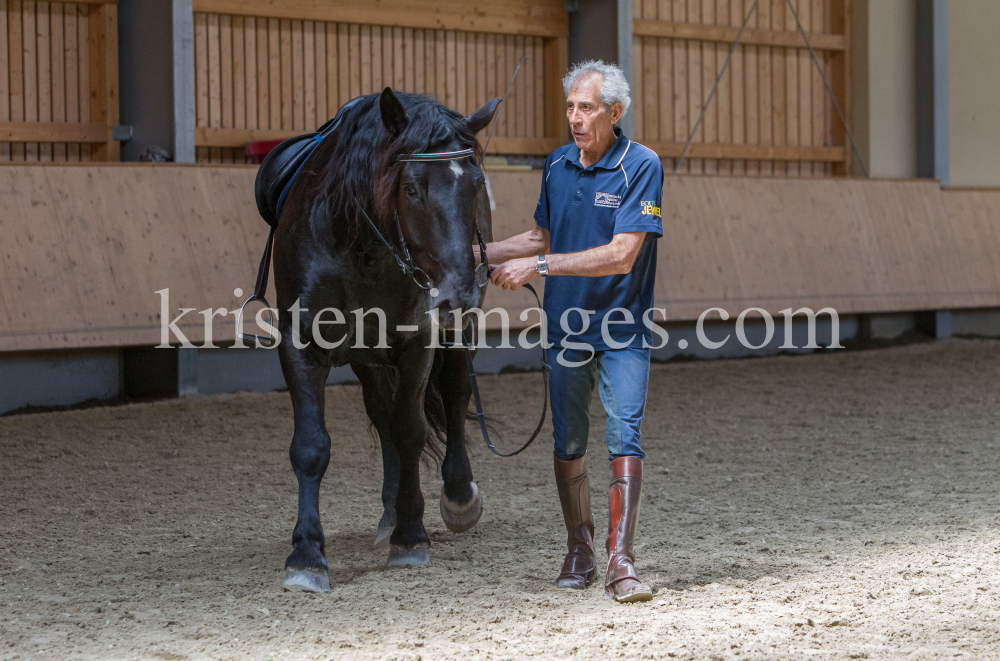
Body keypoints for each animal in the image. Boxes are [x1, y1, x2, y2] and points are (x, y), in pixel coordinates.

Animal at [272, 89, 500, 592]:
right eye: (411, 188)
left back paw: (457, 496)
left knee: (453, 393)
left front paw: (411, 537)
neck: (363, 250)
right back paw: (390, 512)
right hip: (370, 359)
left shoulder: (421, 341)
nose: (460, 292)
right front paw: (307, 555)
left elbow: (411, 430)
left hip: (456, 335)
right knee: (382, 411)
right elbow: (311, 447)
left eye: (476, 184)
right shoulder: (299, 346)